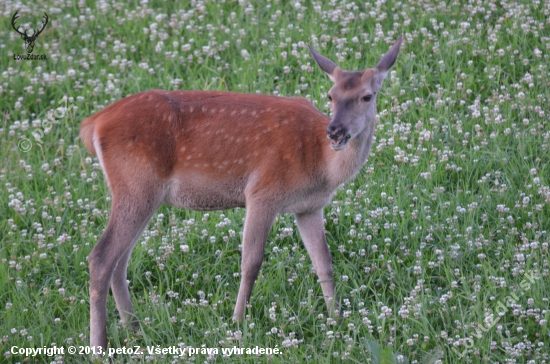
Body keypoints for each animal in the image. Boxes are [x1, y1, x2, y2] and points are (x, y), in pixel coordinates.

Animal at [80, 34, 404, 350]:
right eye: (330, 96)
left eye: (367, 95)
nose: (335, 131)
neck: (321, 165)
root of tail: (92, 124)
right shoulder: (263, 191)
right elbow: (251, 262)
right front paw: (238, 323)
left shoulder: (309, 207)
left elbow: (324, 264)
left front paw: (336, 320)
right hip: (137, 184)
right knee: (102, 256)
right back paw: (100, 345)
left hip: (141, 193)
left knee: (120, 260)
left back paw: (134, 328)